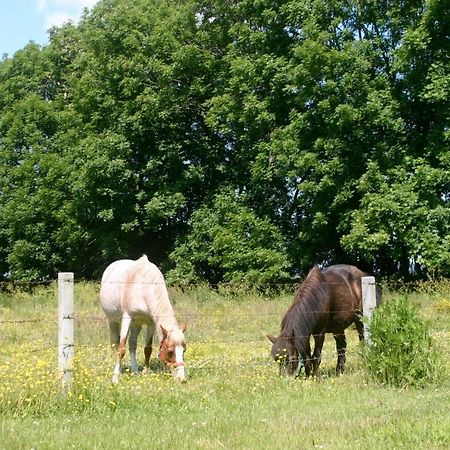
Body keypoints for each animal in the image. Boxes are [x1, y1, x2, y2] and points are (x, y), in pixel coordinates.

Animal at [100, 255, 186, 384]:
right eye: (170, 352)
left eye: (184, 350)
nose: (182, 379)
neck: (144, 287)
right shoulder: (127, 317)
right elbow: (121, 349)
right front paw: (115, 378)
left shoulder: (151, 322)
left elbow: (147, 349)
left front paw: (145, 372)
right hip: (113, 321)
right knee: (115, 344)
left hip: (137, 324)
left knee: (132, 343)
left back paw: (135, 370)